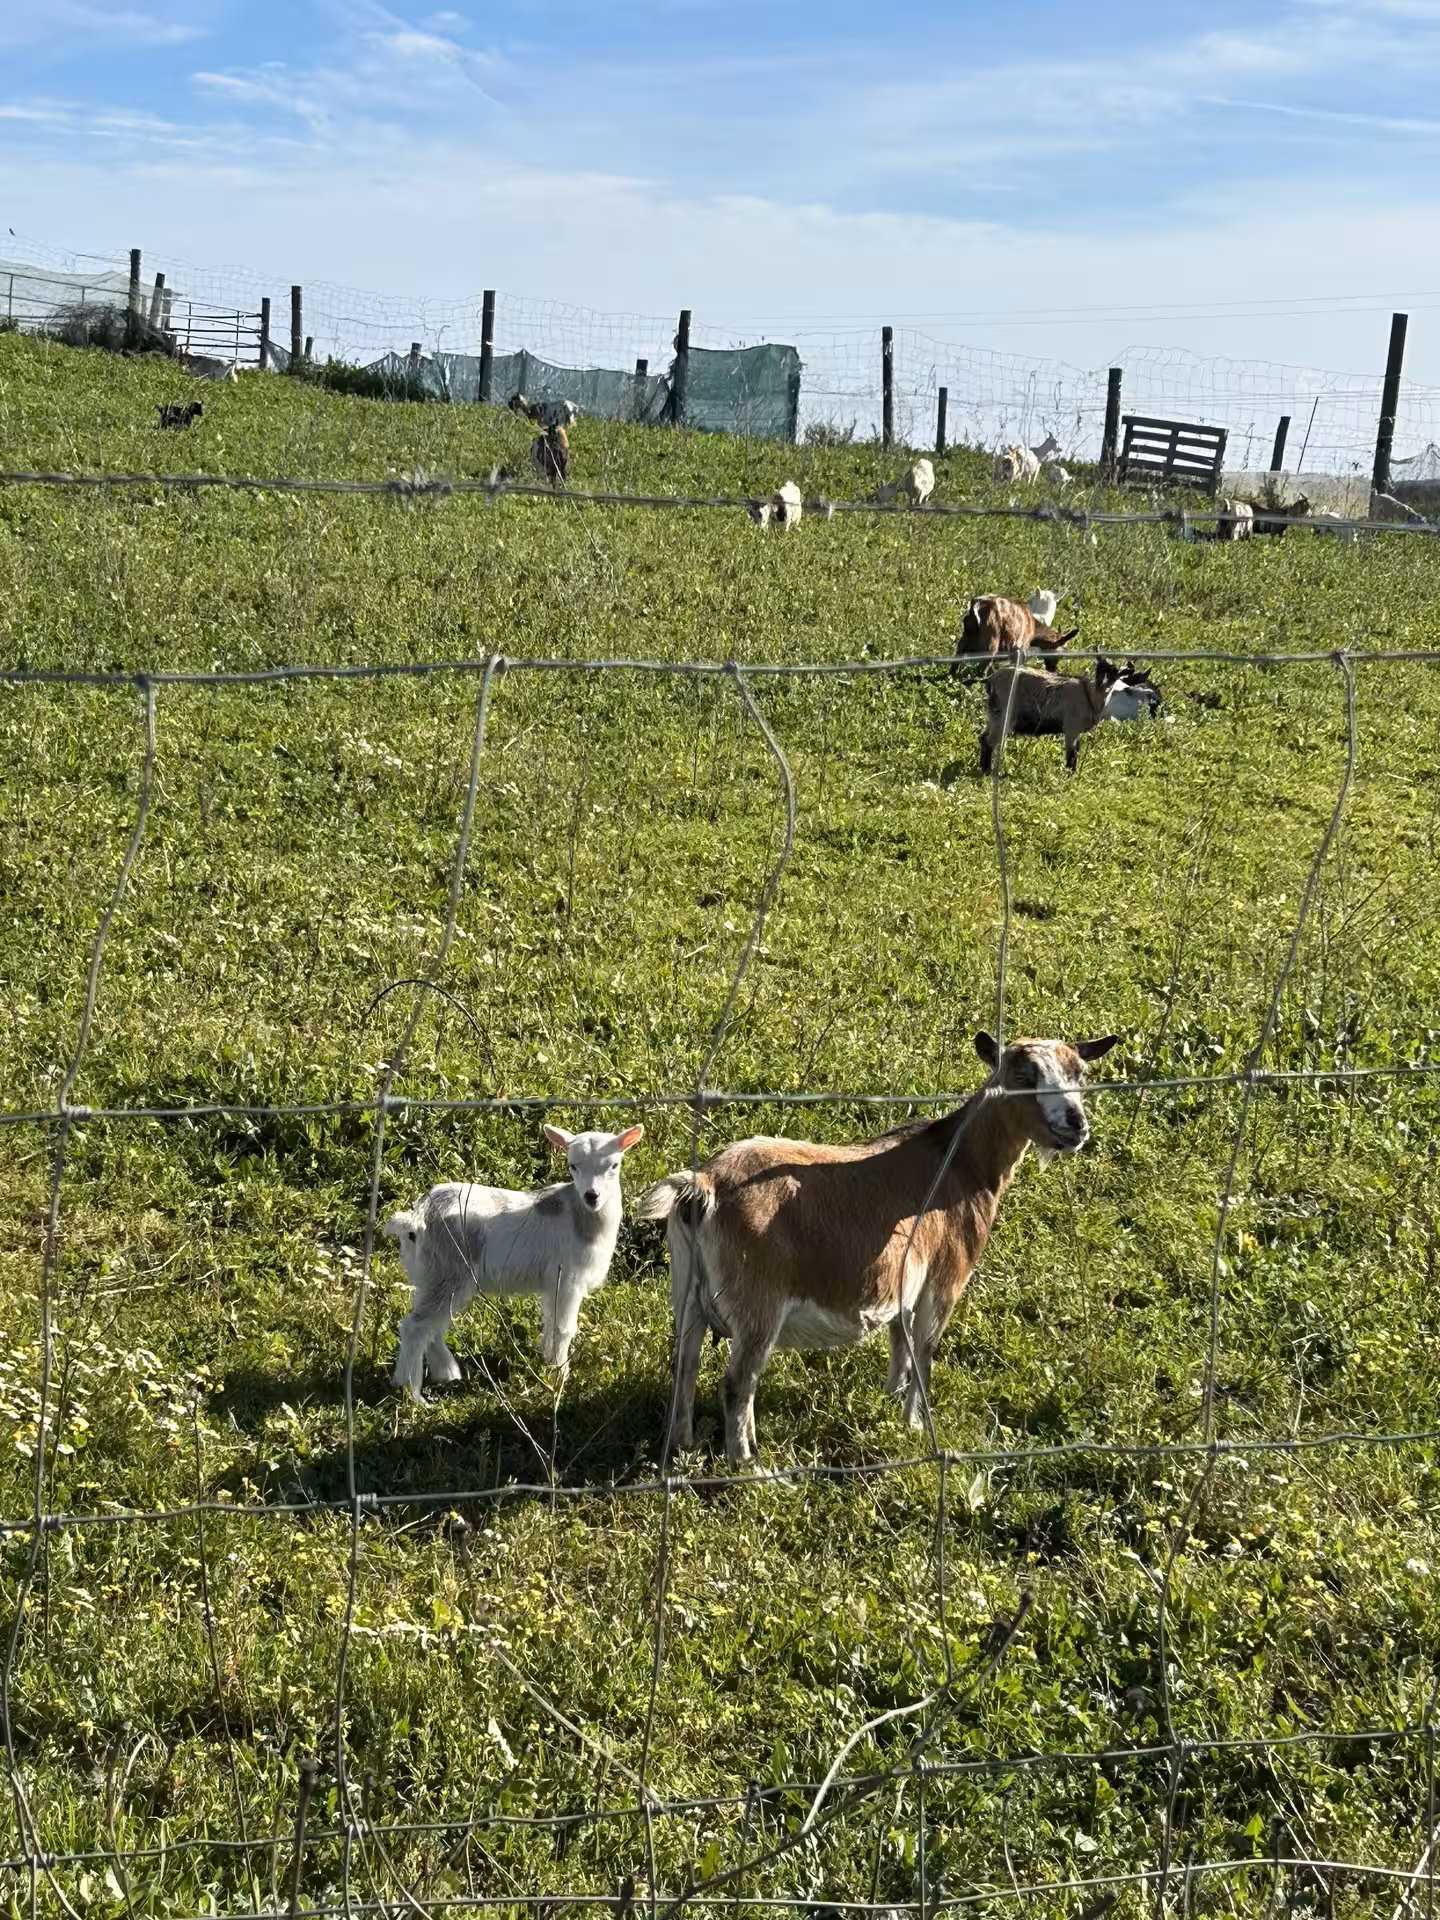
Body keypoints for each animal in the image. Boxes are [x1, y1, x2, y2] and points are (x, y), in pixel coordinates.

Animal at [387, 1124, 644, 1400]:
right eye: (573, 1166)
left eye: (614, 1165)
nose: (592, 1196)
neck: (581, 1215)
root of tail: (418, 1217)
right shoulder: (568, 1279)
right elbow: (563, 1328)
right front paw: (561, 1375)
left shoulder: (553, 1284)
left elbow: (550, 1323)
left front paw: (549, 1363)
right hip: (447, 1270)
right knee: (415, 1326)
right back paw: (412, 1393)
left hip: (433, 1275)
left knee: (434, 1325)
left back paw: (447, 1374)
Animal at [638, 1031, 1117, 1459]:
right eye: (1023, 1074)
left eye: (1081, 1073)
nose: (1075, 1125)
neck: (961, 1163)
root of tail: (704, 1185)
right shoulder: (945, 1277)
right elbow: (924, 1351)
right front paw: (915, 1426)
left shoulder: (904, 1280)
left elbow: (900, 1343)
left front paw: (890, 1405)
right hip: (759, 1300)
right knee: (738, 1383)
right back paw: (749, 1467)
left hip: (688, 1294)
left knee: (685, 1363)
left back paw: (684, 1445)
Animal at [980, 657, 1157, 772]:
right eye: (1099, 671)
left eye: (1115, 675)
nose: (1102, 685)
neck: (1090, 695)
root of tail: (991, 680)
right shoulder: (1071, 726)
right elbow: (1071, 754)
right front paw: (1068, 776)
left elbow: (1076, 751)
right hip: (1004, 715)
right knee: (990, 741)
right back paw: (987, 771)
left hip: (994, 714)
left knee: (983, 737)